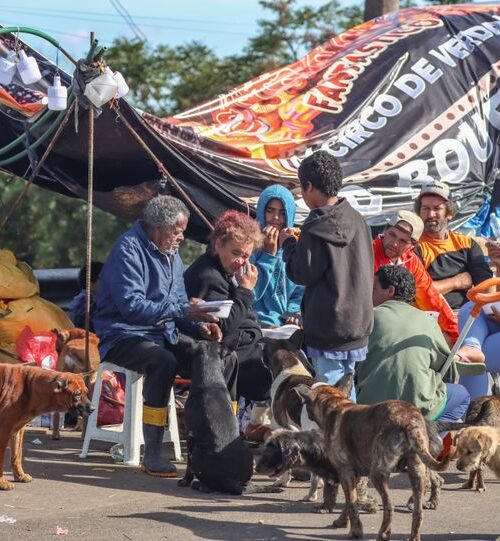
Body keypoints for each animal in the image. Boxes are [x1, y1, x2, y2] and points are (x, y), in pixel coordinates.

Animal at [0, 362, 94, 490]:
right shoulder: (4, 429)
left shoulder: (17, 430)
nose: (93, 408)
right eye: (78, 394)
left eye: (86, 392)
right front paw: (1, 482)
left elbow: (17, 455)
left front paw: (20, 476)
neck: (29, 388)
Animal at [294, 374, 452, 540]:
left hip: (377, 474)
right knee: (418, 511)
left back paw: (383, 533)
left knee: (389, 506)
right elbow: (350, 503)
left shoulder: (345, 472)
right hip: (417, 471)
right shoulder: (355, 476)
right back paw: (414, 535)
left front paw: (355, 531)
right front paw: (342, 521)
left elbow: (351, 503)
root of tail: (409, 420)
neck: (335, 404)